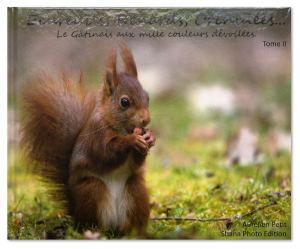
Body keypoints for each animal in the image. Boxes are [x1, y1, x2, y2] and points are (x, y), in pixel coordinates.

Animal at [20, 41, 157, 234]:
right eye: (124, 102)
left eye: (147, 97)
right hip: (92, 190)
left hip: (136, 189)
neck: (121, 128)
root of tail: (76, 214)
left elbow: (137, 161)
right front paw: (132, 141)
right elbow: (105, 154)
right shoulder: (96, 135)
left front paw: (150, 136)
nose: (146, 120)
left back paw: (133, 234)